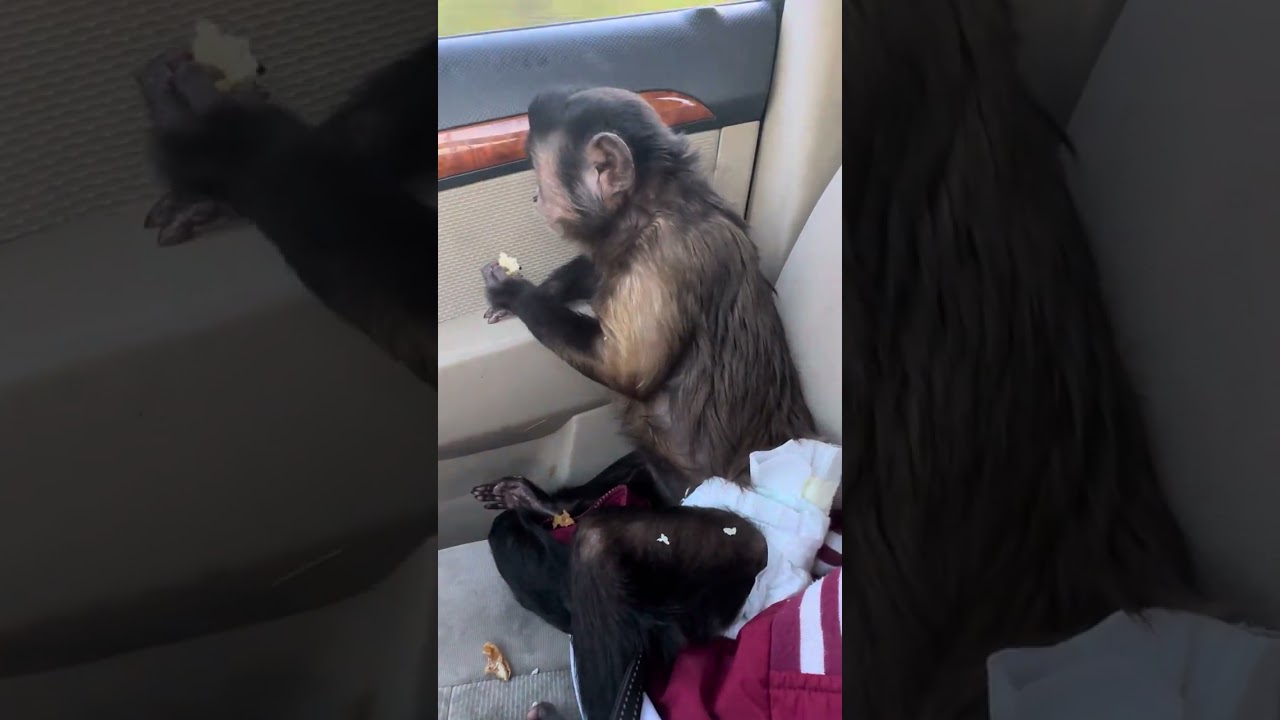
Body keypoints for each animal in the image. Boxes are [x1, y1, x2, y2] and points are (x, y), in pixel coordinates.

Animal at [470, 87, 818, 720]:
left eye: (539, 176)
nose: (532, 196)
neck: (652, 209)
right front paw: (547, 289)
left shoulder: (665, 260)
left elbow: (627, 369)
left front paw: (518, 293)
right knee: (638, 467)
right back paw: (542, 504)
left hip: (744, 550)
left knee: (602, 545)